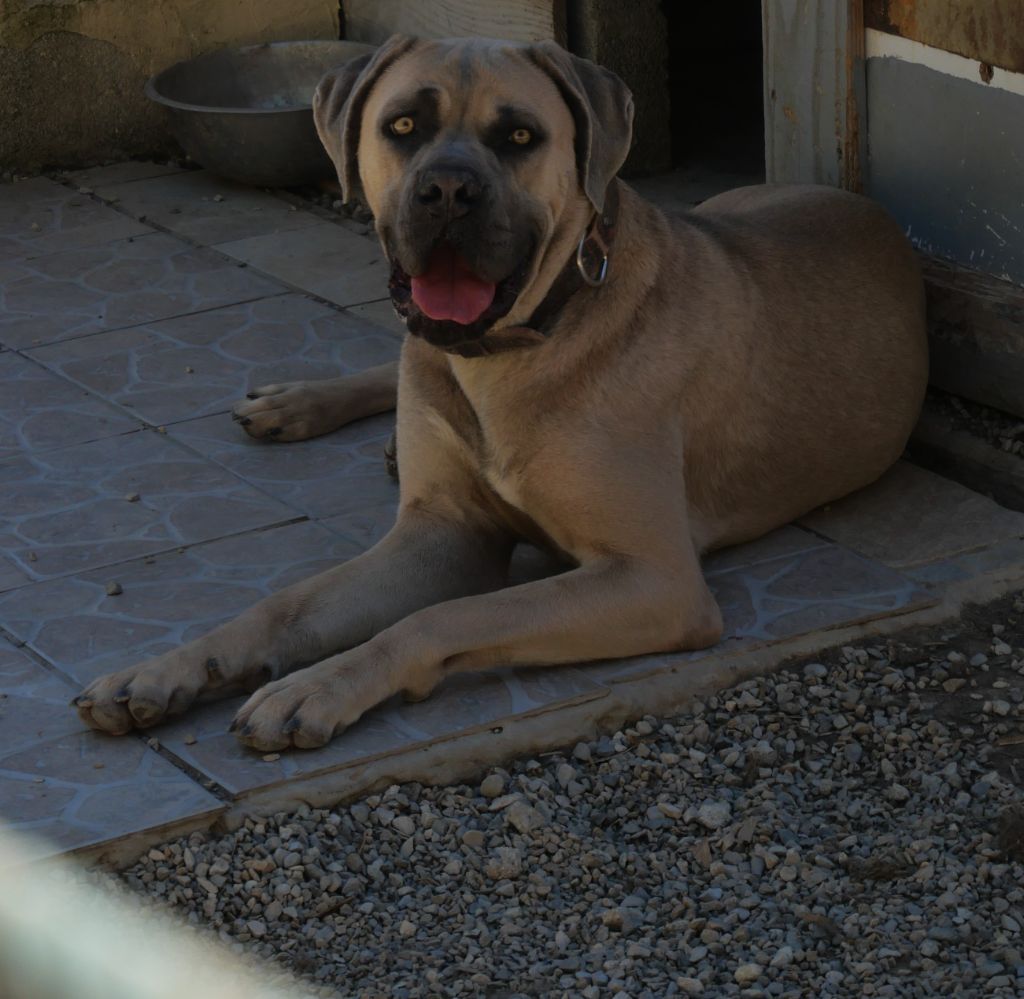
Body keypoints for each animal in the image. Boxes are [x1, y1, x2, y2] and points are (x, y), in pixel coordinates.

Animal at [74, 35, 929, 745]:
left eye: (519, 137)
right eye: (403, 126)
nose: (448, 191)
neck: (505, 354)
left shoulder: (652, 578)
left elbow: (445, 615)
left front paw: (318, 684)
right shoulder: (440, 531)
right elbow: (284, 603)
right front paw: (167, 667)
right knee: (393, 364)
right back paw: (298, 402)